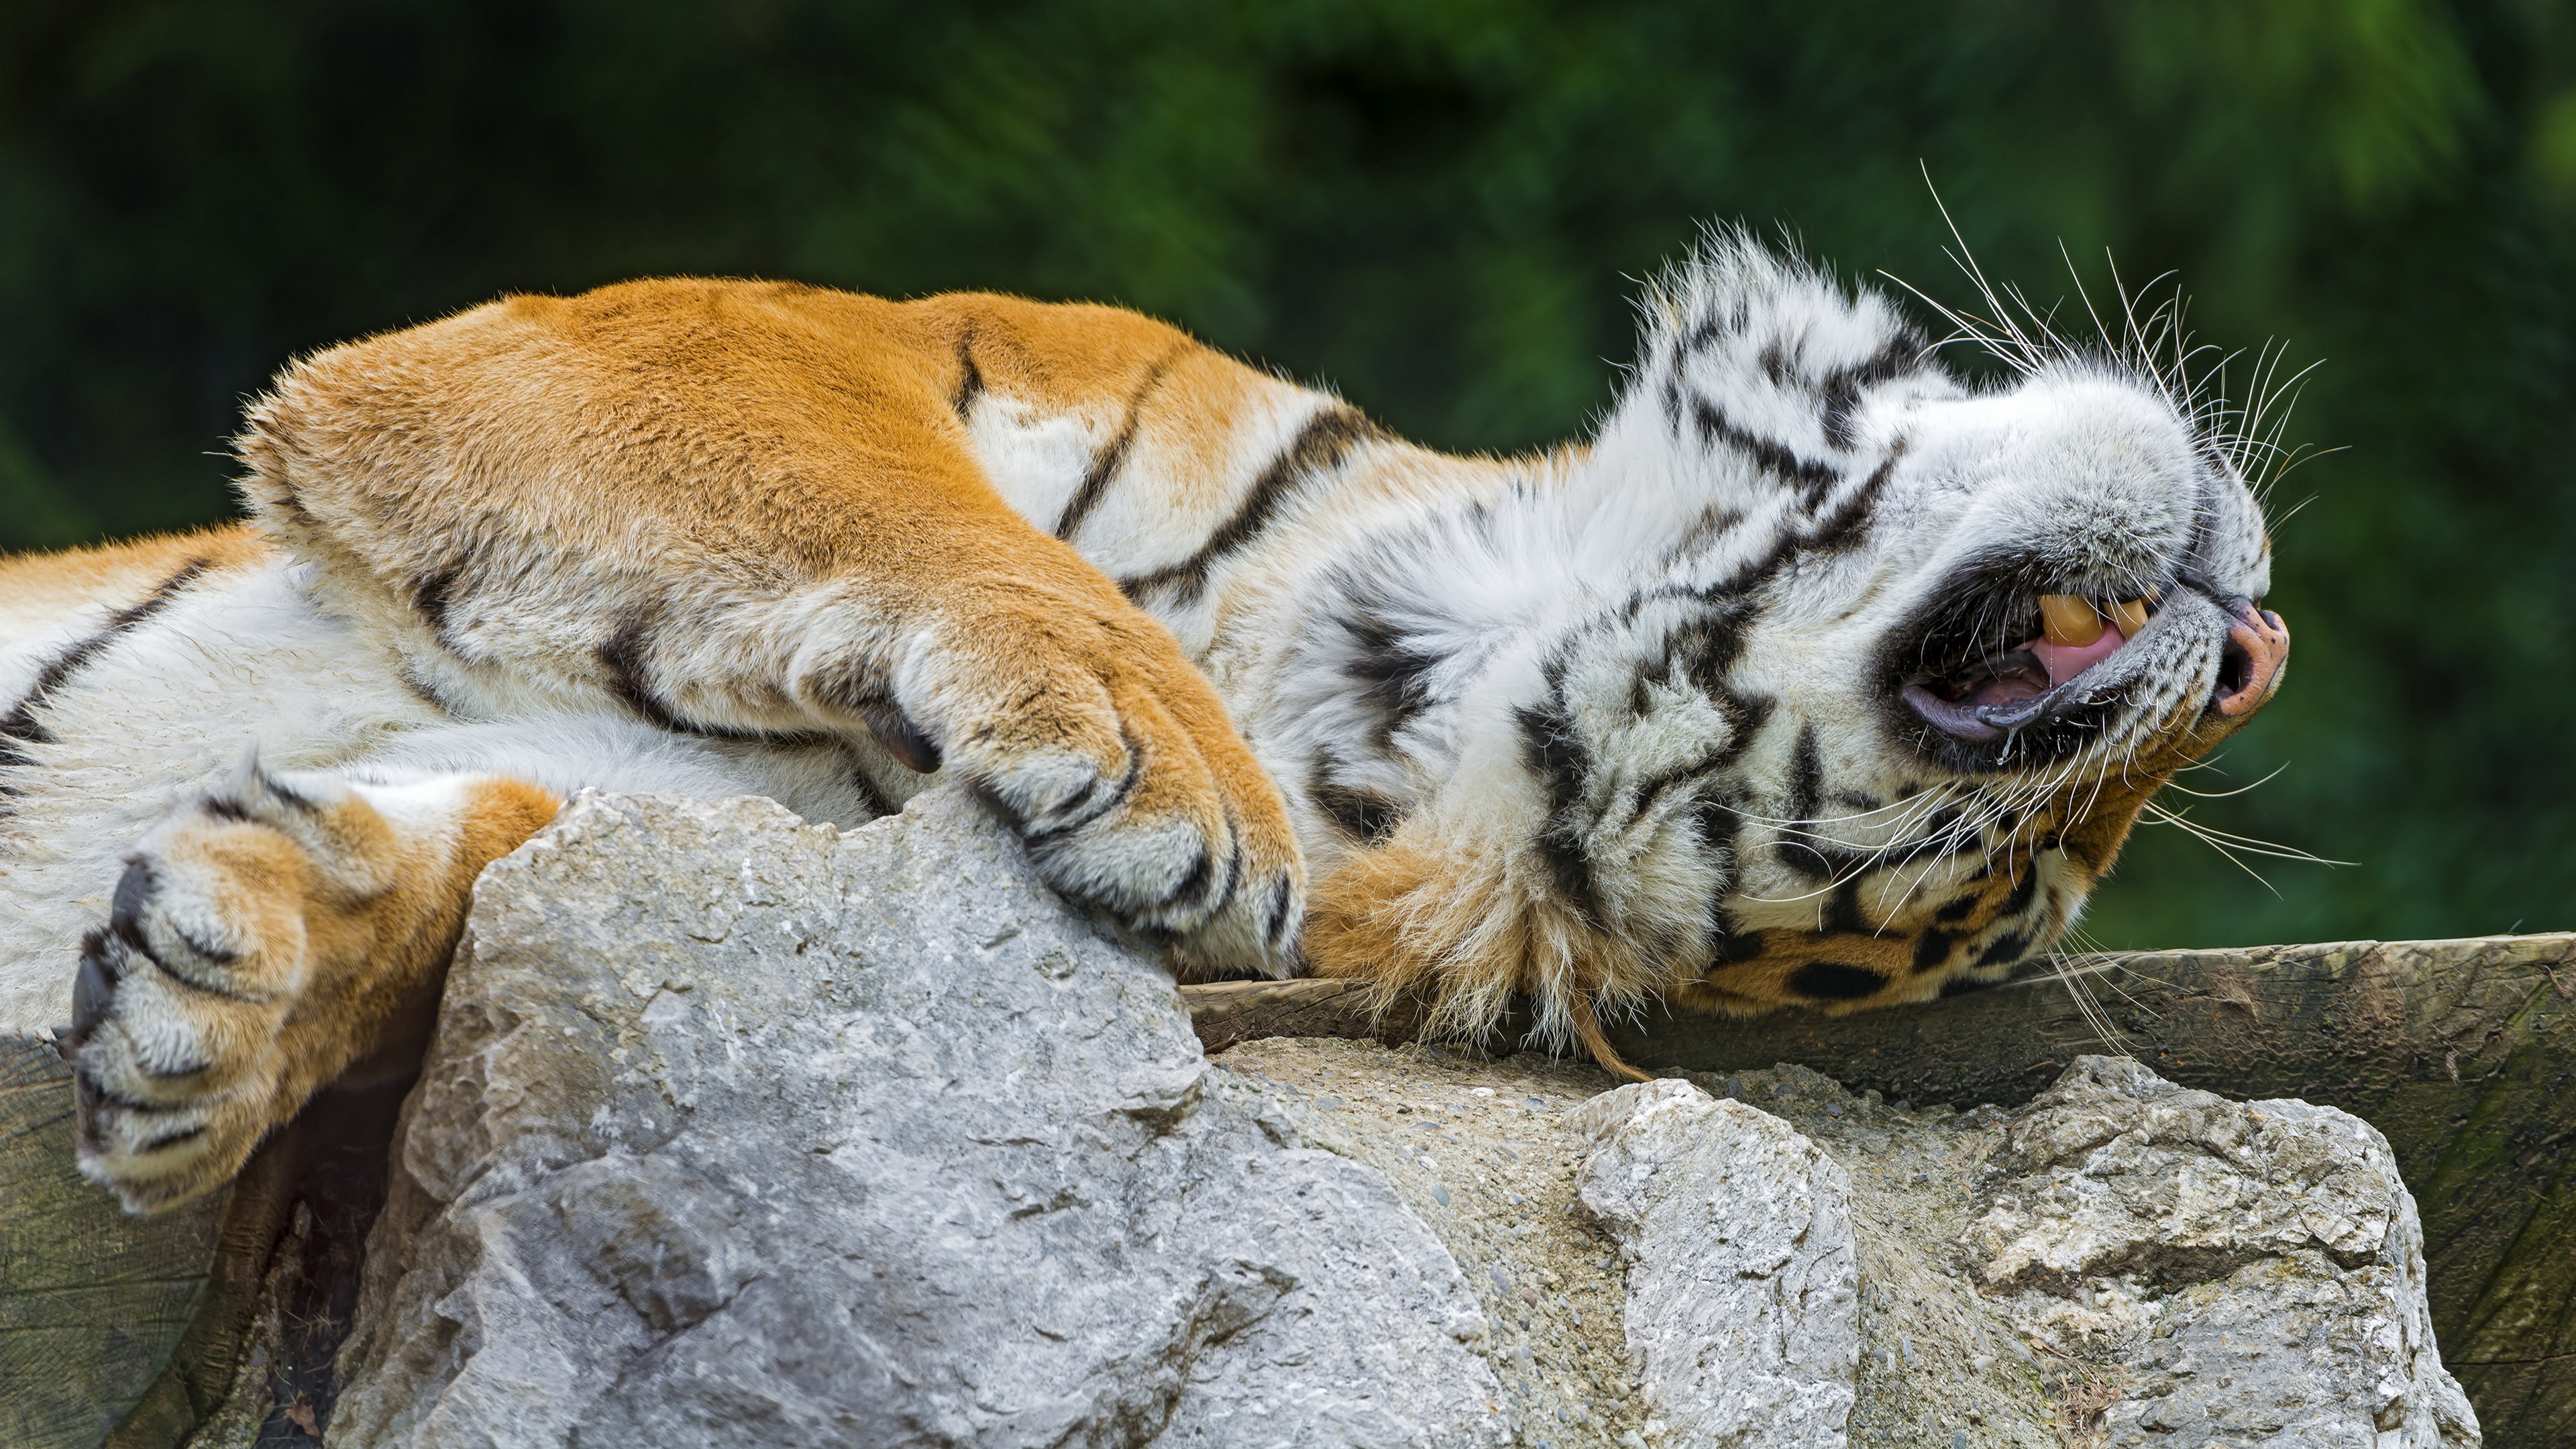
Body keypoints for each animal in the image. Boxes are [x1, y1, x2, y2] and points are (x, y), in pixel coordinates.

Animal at [0, 236, 2288, 1214]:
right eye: (2059, 850)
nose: (2256, 652)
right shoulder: (677, 341)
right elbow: (920, 513)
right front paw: (1170, 763)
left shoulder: (745, 815)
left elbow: (490, 849)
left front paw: (231, 998)